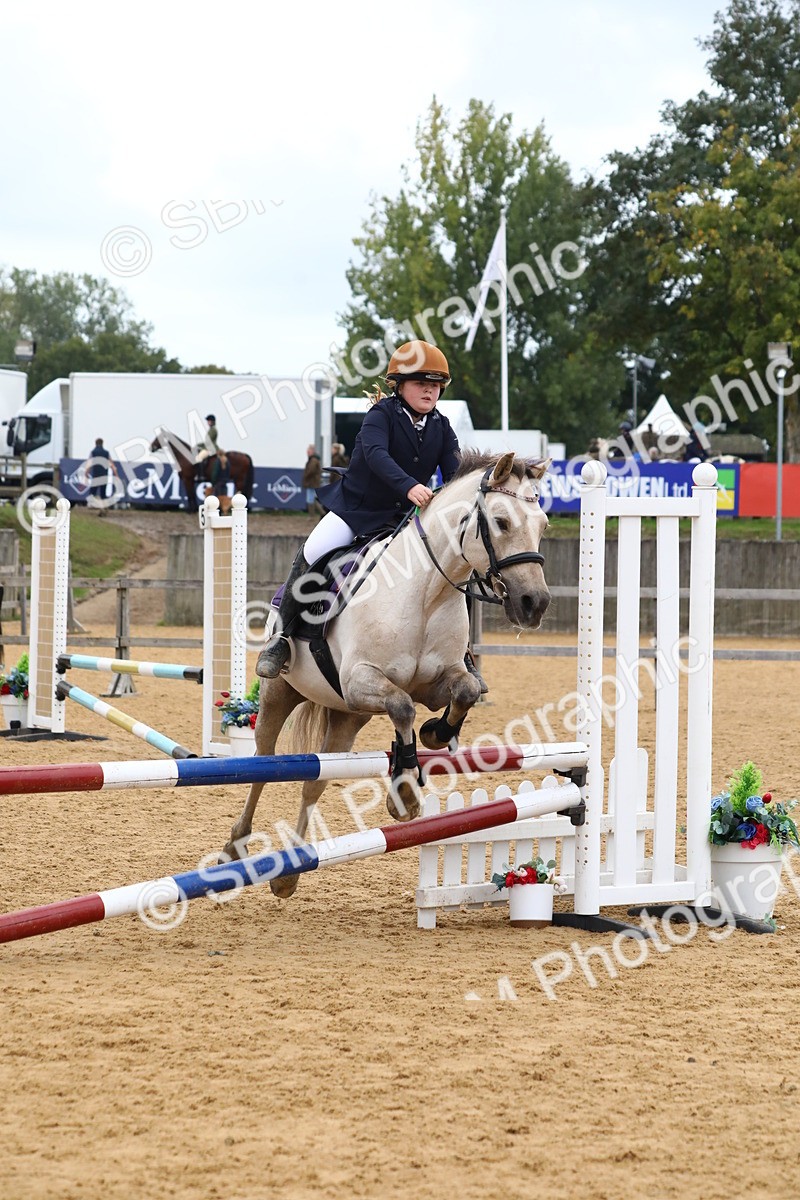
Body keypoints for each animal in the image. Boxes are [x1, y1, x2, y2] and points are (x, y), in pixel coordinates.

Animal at [223, 450, 551, 898]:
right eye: (501, 521)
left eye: (543, 525)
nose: (534, 603)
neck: (427, 592)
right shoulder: (361, 680)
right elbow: (401, 705)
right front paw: (406, 794)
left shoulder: (433, 683)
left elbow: (462, 691)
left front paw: (434, 737)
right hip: (280, 693)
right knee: (264, 761)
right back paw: (236, 843)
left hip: (347, 717)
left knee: (314, 782)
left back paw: (290, 872)